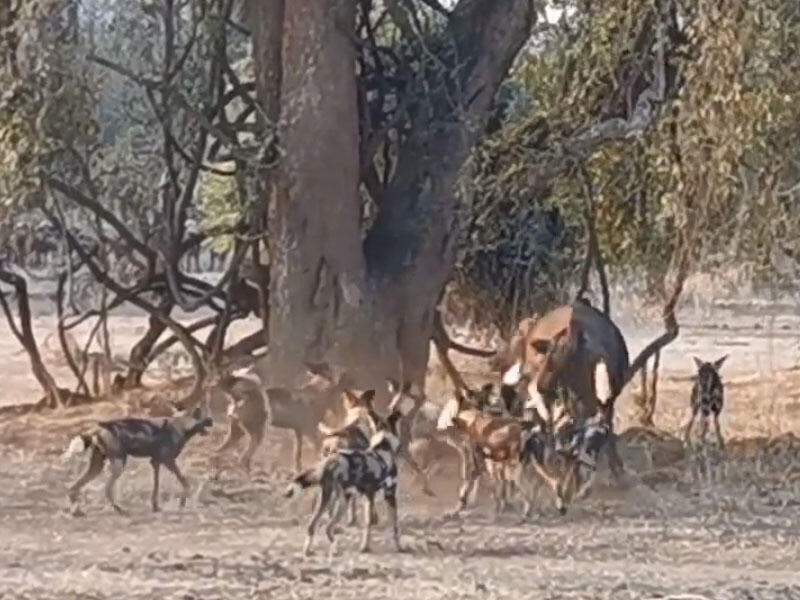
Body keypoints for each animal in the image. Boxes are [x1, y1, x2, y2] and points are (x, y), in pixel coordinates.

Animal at [64, 408, 212, 516]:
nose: (212, 420)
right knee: (107, 488)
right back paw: (119, 509)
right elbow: (185, 482)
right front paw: (182, 503)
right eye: (204, 417)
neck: (182, 425)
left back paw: (77, 512)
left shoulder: (156, 462)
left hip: (97, 466)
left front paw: (155, 506)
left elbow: (156, 485)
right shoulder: (168, 460)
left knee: (73, 487)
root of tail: (99, 428)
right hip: (118, 464)